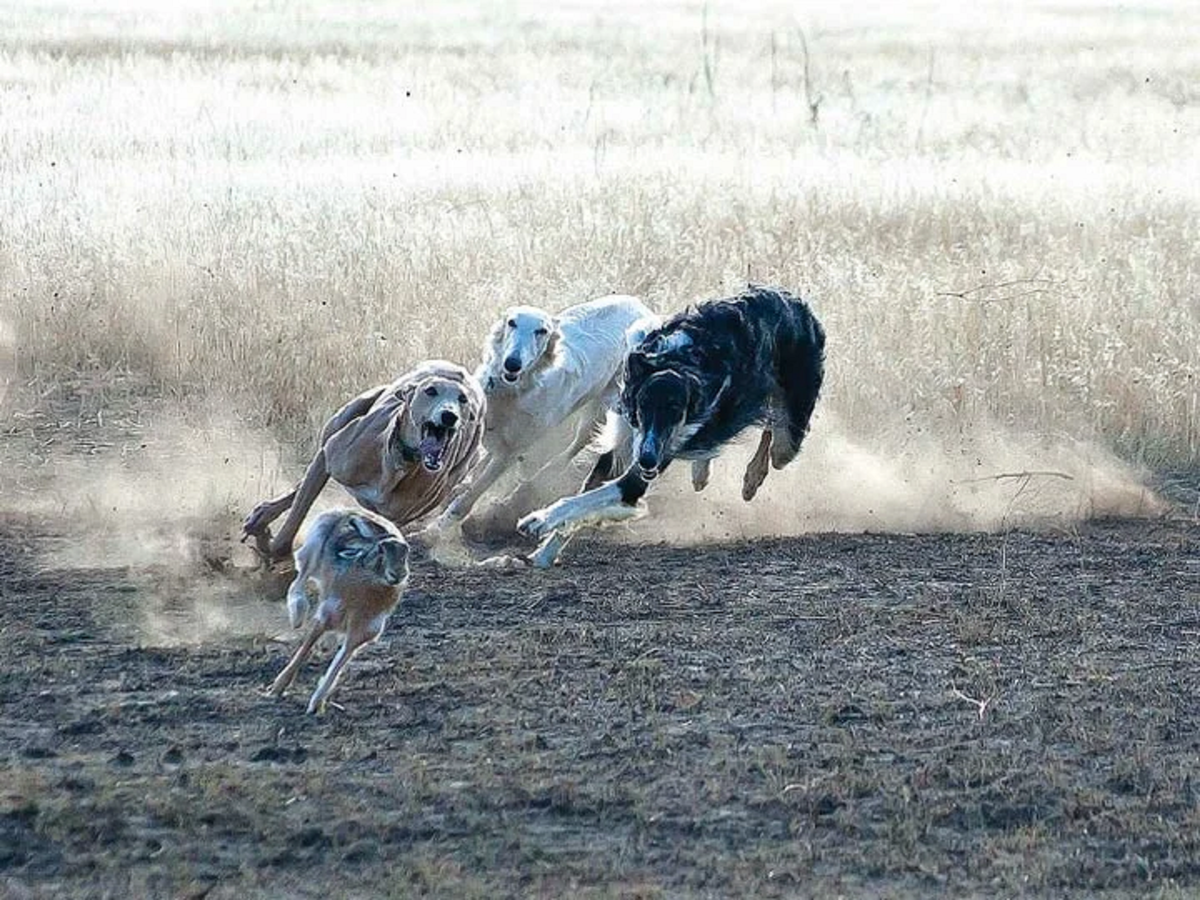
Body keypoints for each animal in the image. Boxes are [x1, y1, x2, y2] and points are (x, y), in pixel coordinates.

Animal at [241, 360, 484, 564]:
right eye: (431, 391)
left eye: (463, 400)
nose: (450, 416)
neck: (399, 463)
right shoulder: (330, 455)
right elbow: (296, 515)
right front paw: (271, 548)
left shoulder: (393, 517)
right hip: (342, 419)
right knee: (305, 481)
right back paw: (263, 515)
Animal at [417, 296, 662, 554]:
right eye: (512, 322)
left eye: (541, 331)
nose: (512, 363)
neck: (511, 392)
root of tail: (641, 307)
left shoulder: (509, 454)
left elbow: (469, 497)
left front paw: (435, 529)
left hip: (600, 415)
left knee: (571, 449)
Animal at [516, 285, 825, 566]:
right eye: (642, 406)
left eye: (677, 412)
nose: (648, 460)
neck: (677, 361)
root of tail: (796, 302)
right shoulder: (624, 443)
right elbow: (584, 497)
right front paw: (544, 554)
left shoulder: (641, 472)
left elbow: (582, 501)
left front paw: (539, 520)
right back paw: (703, 471)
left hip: (787, 437)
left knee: (774, 434)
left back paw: (751, 477)